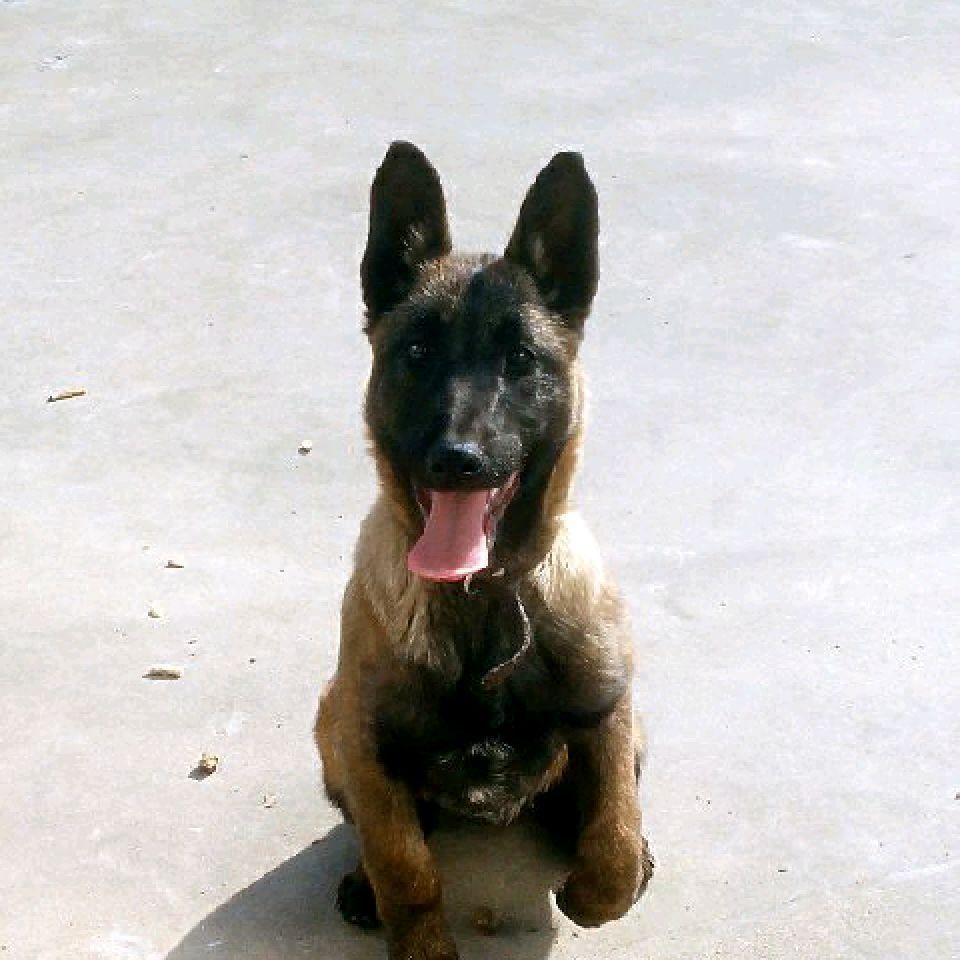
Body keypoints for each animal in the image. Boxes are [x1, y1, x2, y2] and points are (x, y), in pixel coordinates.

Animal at [315, 142, 652, 960]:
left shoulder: (608, 712)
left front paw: (595, 888)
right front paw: (414, 931)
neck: (486, 596)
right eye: (415, 351)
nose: (456, 459)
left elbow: (614, 843)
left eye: (521, 358)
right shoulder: (369, 750)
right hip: (329, 720)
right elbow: (406, 869)